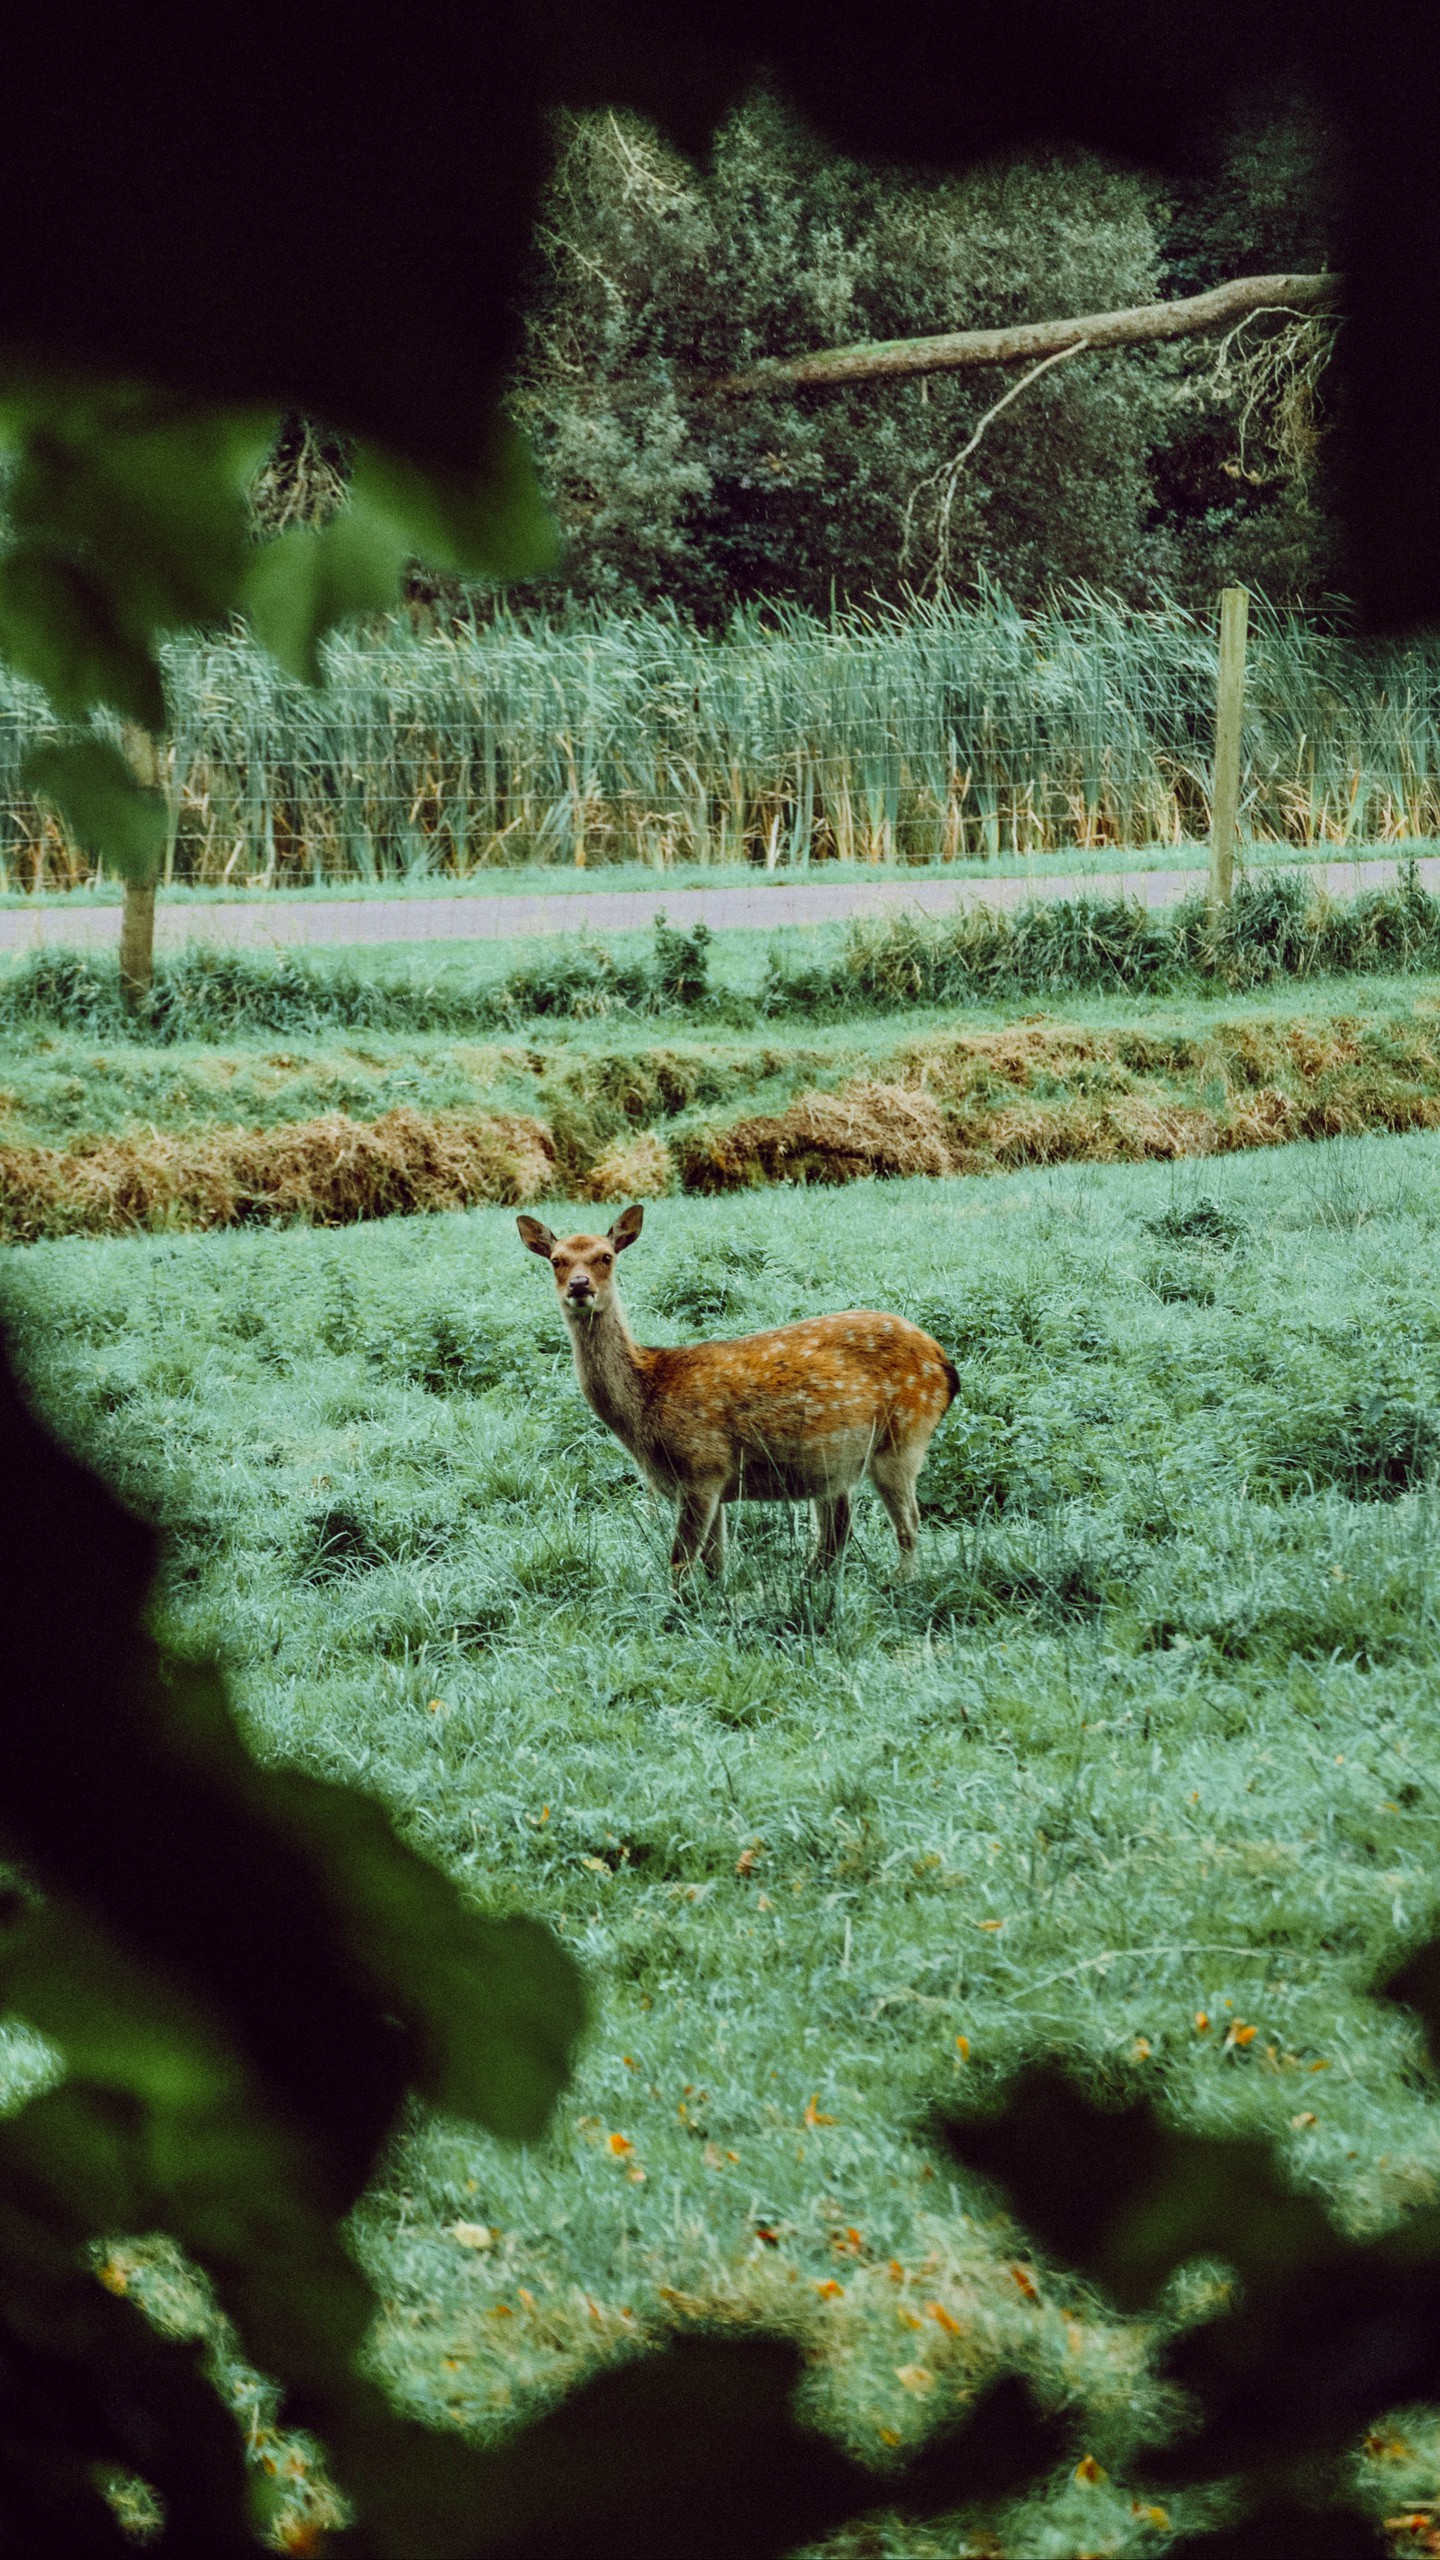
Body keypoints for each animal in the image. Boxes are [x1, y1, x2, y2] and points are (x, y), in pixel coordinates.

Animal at [512, 1203, 953, 1576]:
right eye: (556, 1260)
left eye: (606, 1256)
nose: (579, 1285)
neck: (647, 1405)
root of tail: (944, 1364)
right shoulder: (714, 1486)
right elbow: (715, 1563)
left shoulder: (703, 1467)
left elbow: (680, 1562)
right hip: (837, 1466)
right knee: (836, 1535)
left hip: (903, 1438)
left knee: (908, 1525)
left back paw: (901, 1584)